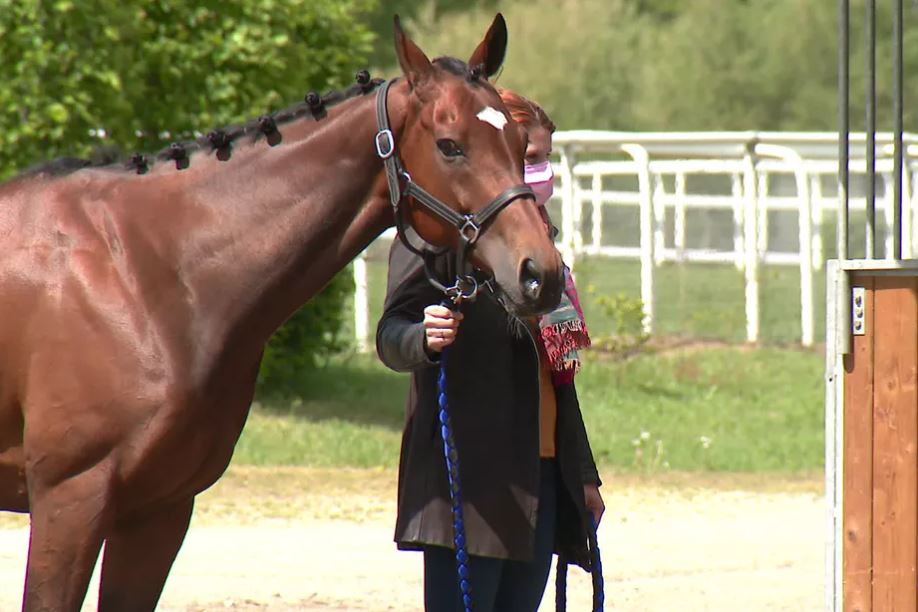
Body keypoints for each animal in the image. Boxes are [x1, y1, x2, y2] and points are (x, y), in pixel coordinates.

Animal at [0, 15, 564, 612]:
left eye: (519, 144)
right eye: (450, 145)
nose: (540, 273)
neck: (145, 272)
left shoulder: (158, 511)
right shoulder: (70, 501)